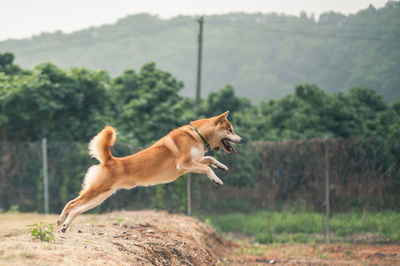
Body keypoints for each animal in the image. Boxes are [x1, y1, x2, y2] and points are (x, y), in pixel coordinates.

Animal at [57, 110, 242, 231]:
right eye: (230, 130)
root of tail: (110, 160)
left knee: (77, 209)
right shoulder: (184, 163)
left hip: (101, 196)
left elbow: (209, 159)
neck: (198, 135)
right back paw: (60, 220)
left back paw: (66, 225)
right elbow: (206, 167)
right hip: (97, 191)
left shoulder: (194, 161)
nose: (242, 140)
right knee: (71, 203)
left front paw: (221, 166)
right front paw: (216, 179)